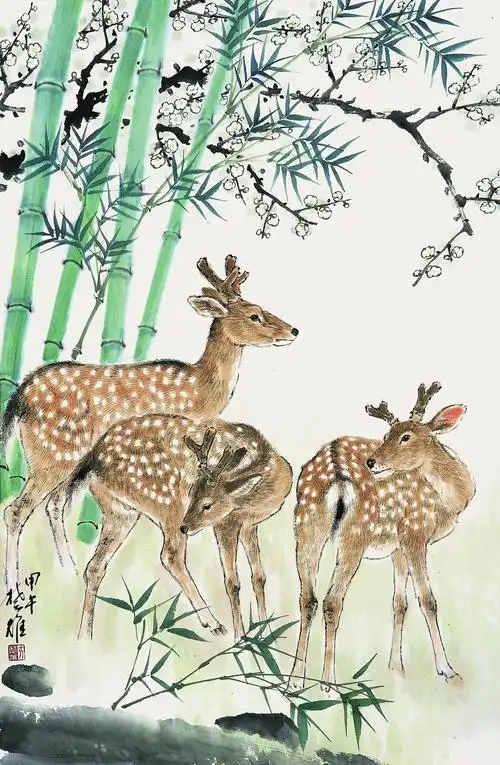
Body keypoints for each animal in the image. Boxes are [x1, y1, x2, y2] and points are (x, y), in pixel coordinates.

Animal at [0, 255, 298, 592]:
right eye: (254, 315)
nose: (293, 330)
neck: (201, 390)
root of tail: (18, 395)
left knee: (52, 505)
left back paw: (67, 571)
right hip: (54, 454)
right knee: (17, 509)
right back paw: (13, 584)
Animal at [63, 416, 293, 639]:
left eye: (206, 504)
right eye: (191, 493)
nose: (186, 527)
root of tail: (93, 458)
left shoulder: (249, 526)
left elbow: (259, 577)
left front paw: (266, 633)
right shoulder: (225, 523)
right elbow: (232, 581)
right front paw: (242, 637)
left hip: (121, 512)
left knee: (95, 566)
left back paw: (85, 635)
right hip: (167, 501)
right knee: (170, 556)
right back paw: (214, 623)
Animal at [289, 382, 475, 692]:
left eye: (405, 436)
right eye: (387, 435)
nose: (372, 461)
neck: (449, 502)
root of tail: (334, 470)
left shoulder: (396, 546)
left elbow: (400, 603)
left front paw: (396, 666)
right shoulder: (414, 532)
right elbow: (427, 600)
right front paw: (446, 669)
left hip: (306, 524)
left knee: (308, 598)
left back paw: (294, 679)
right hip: (355, 532)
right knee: (332, 601)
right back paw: (328, 682)